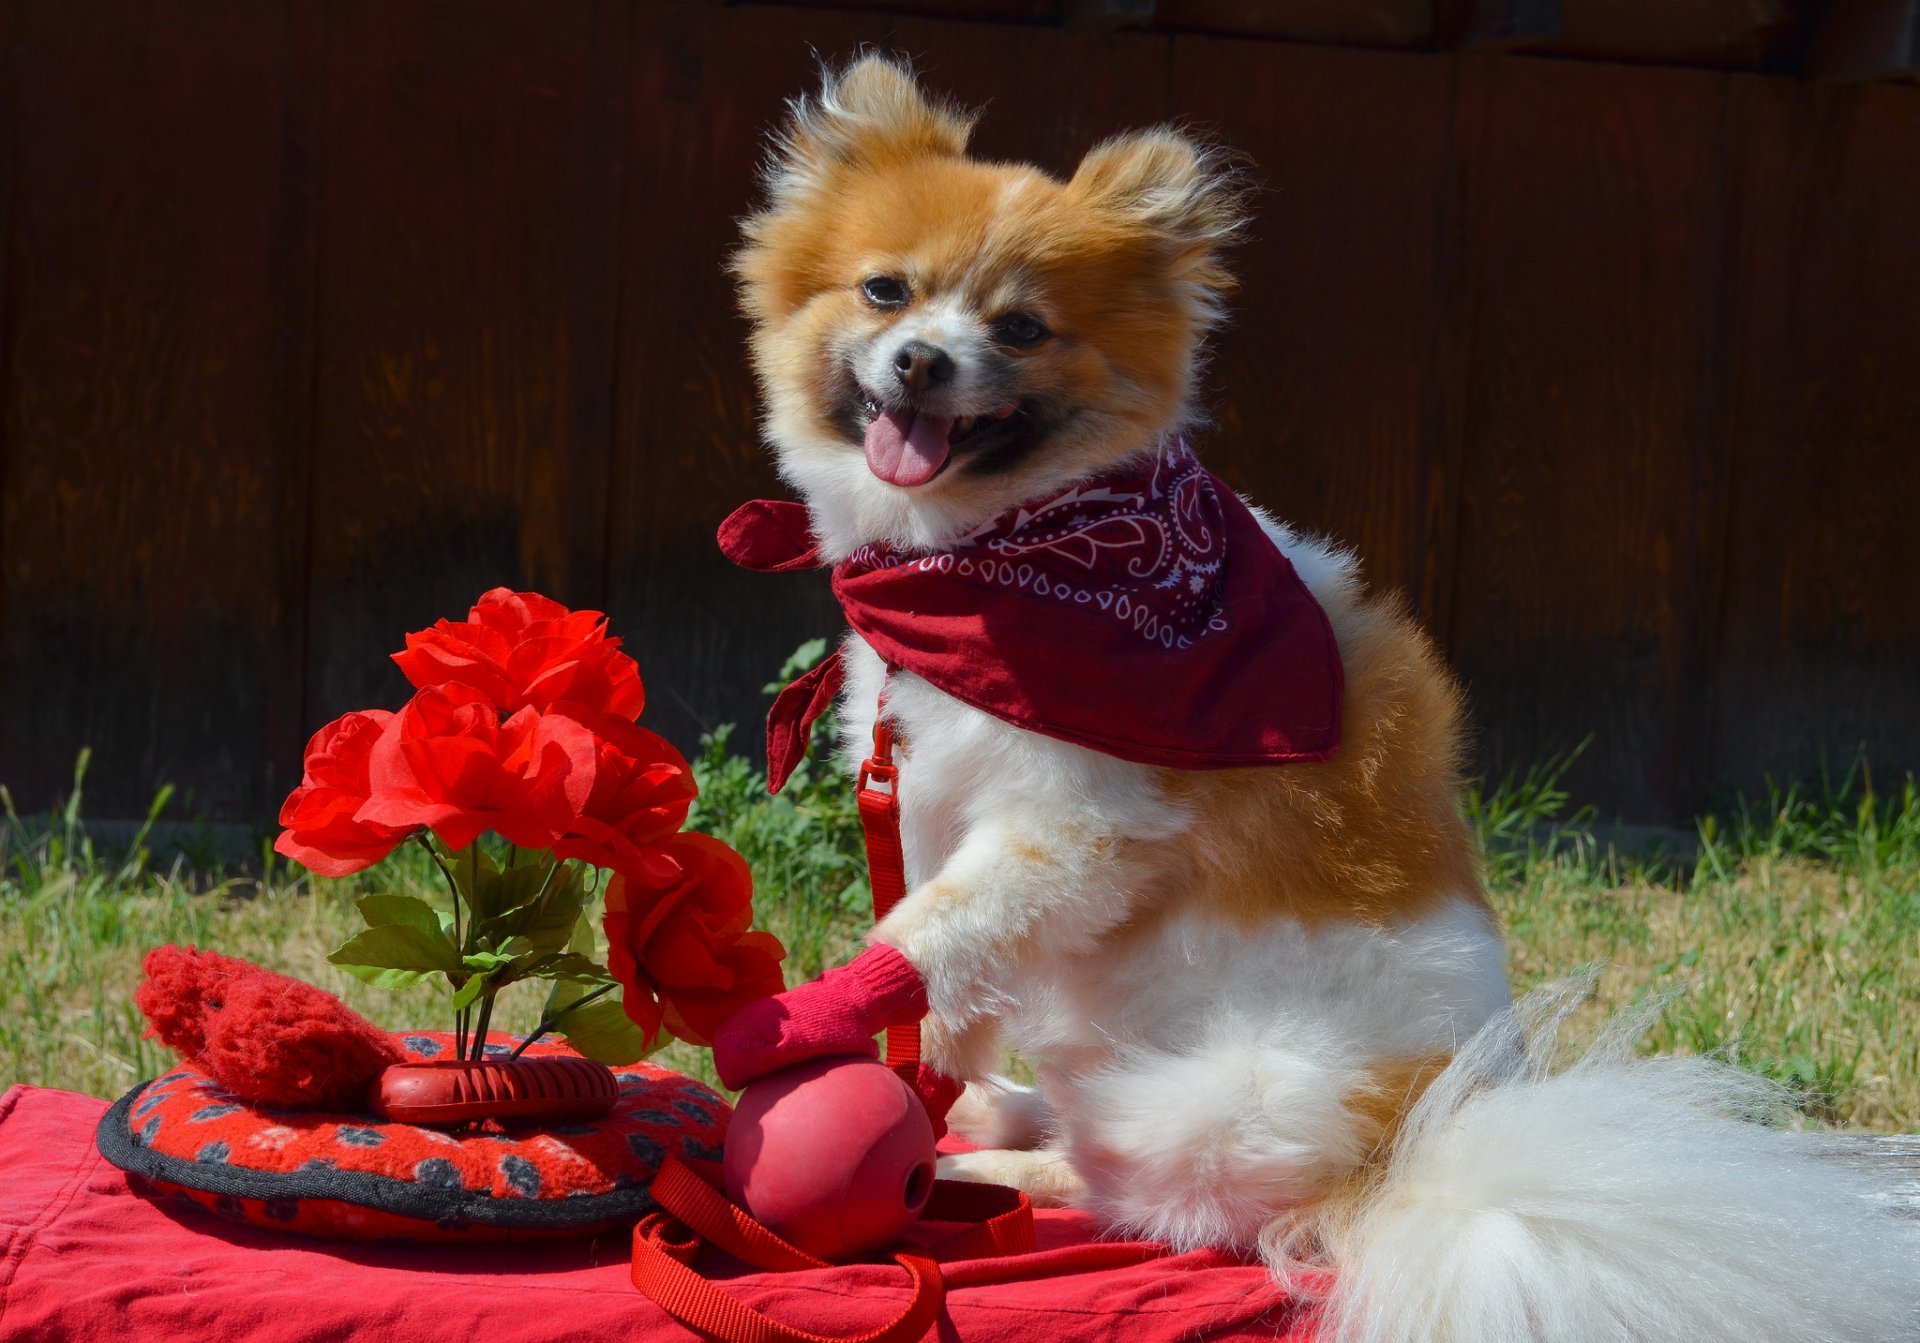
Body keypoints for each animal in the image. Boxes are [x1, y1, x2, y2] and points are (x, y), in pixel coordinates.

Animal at [718, 55, 1920, 1343]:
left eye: (1022, 327)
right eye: (886, 292)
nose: (923, 360)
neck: (992, 559)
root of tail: (1414, 1162)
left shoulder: (1071, 829)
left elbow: (926, 934)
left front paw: (822, 1026)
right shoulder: (932, 801)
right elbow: (953, 970)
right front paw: (921, 1073)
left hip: (1204, 1099)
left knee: (1152, 1197)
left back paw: (1002, 1163)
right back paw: (1000, 1117)